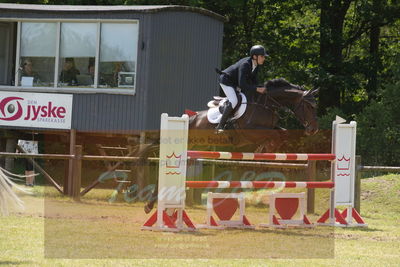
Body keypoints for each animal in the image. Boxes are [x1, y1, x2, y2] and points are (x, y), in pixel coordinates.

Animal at [141, 78, 318, 215]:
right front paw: (264, 149)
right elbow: (276, 136)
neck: (266, 104)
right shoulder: (250, 131)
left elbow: (283, 133)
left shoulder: (270, 128)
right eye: (309, 106)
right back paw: (149, 206)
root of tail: (190, 118)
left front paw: (264, 150)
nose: (314, 129)